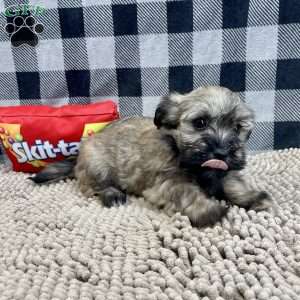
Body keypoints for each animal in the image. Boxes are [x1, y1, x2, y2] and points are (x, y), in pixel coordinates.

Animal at [31, 86, 272, 227]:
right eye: (200, 122)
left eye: (237, 128)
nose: (221, 152)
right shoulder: (166, 183)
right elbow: (187, 193)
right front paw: (207, 210)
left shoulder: (224, 171)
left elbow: (233, 183)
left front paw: (253, 197)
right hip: (97, 164)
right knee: (95, 186)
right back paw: (112, 194)